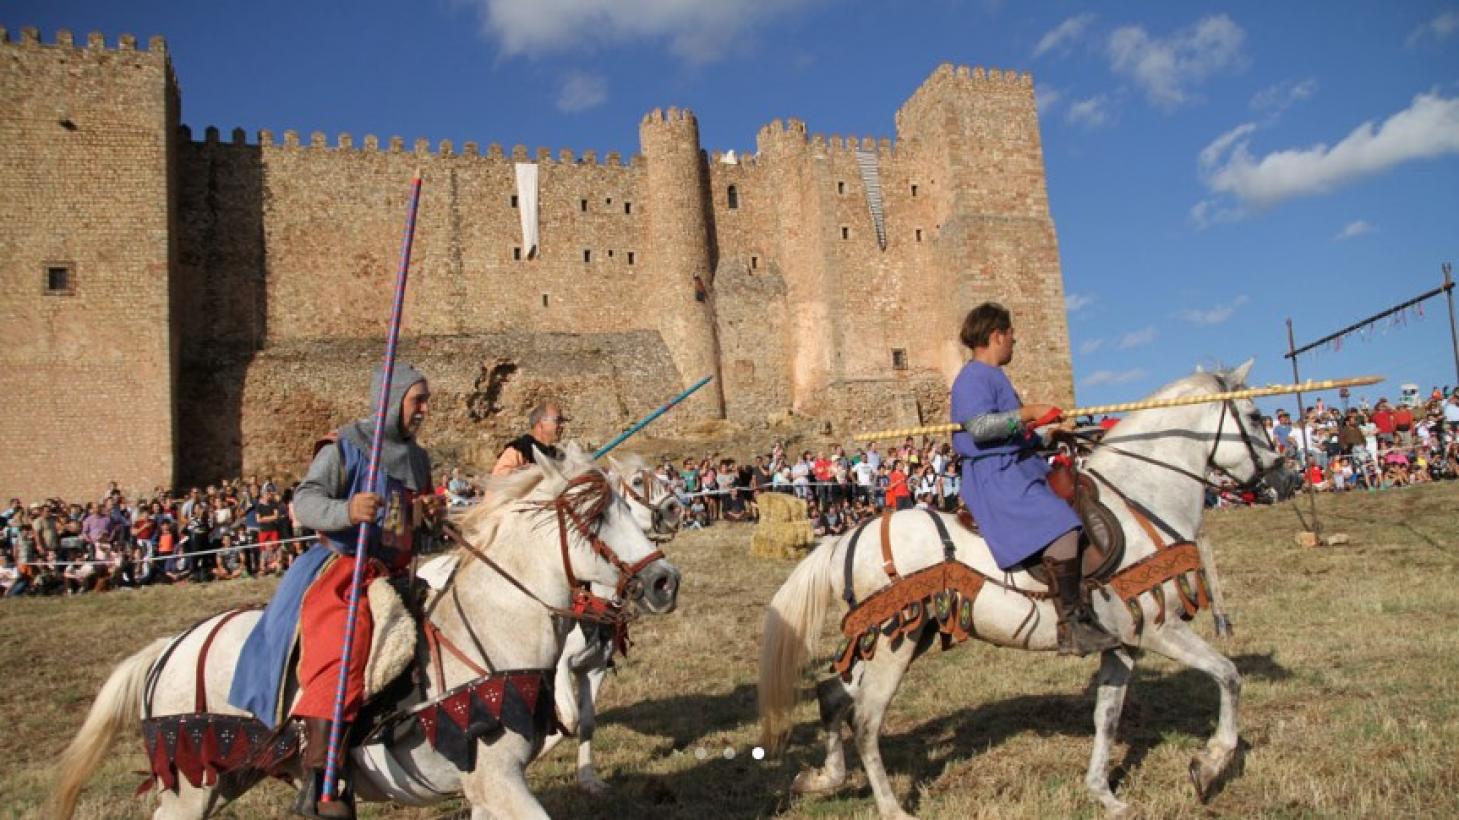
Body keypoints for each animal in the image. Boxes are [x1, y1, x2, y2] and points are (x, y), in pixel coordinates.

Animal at [51, 443, 676, 811]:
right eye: (595, 514)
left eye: (626, 501)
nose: (665, 581)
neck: (492, 631)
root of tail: (169, 648)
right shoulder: (500, 783)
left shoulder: (489, 785)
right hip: (190, 785)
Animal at [758, 363, 1295, 817]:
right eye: (1253, 415)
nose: (1285, 475)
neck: (1139, 496)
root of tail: (846, 536)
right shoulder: (1159, 629)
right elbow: (1228, 676)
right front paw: (1210, 765)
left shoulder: (1122, 645)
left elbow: (1107, 716)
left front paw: (1104, 794)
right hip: (896, 642)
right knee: (866, 722)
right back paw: (891, 809)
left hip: (901, 635)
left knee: (833, 695)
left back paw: (823, 779)